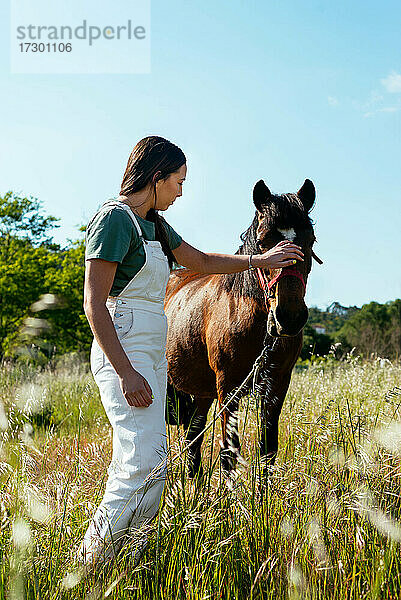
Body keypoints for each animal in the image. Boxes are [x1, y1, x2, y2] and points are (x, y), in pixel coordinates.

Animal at [162, 178, 318, 478]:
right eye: (263, 242)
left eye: (310, 240)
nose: (289, 316)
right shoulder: (227, 387)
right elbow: (228, 453)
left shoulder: (276, 386)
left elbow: (267, 450)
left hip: (202, 393)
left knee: (192, 439)